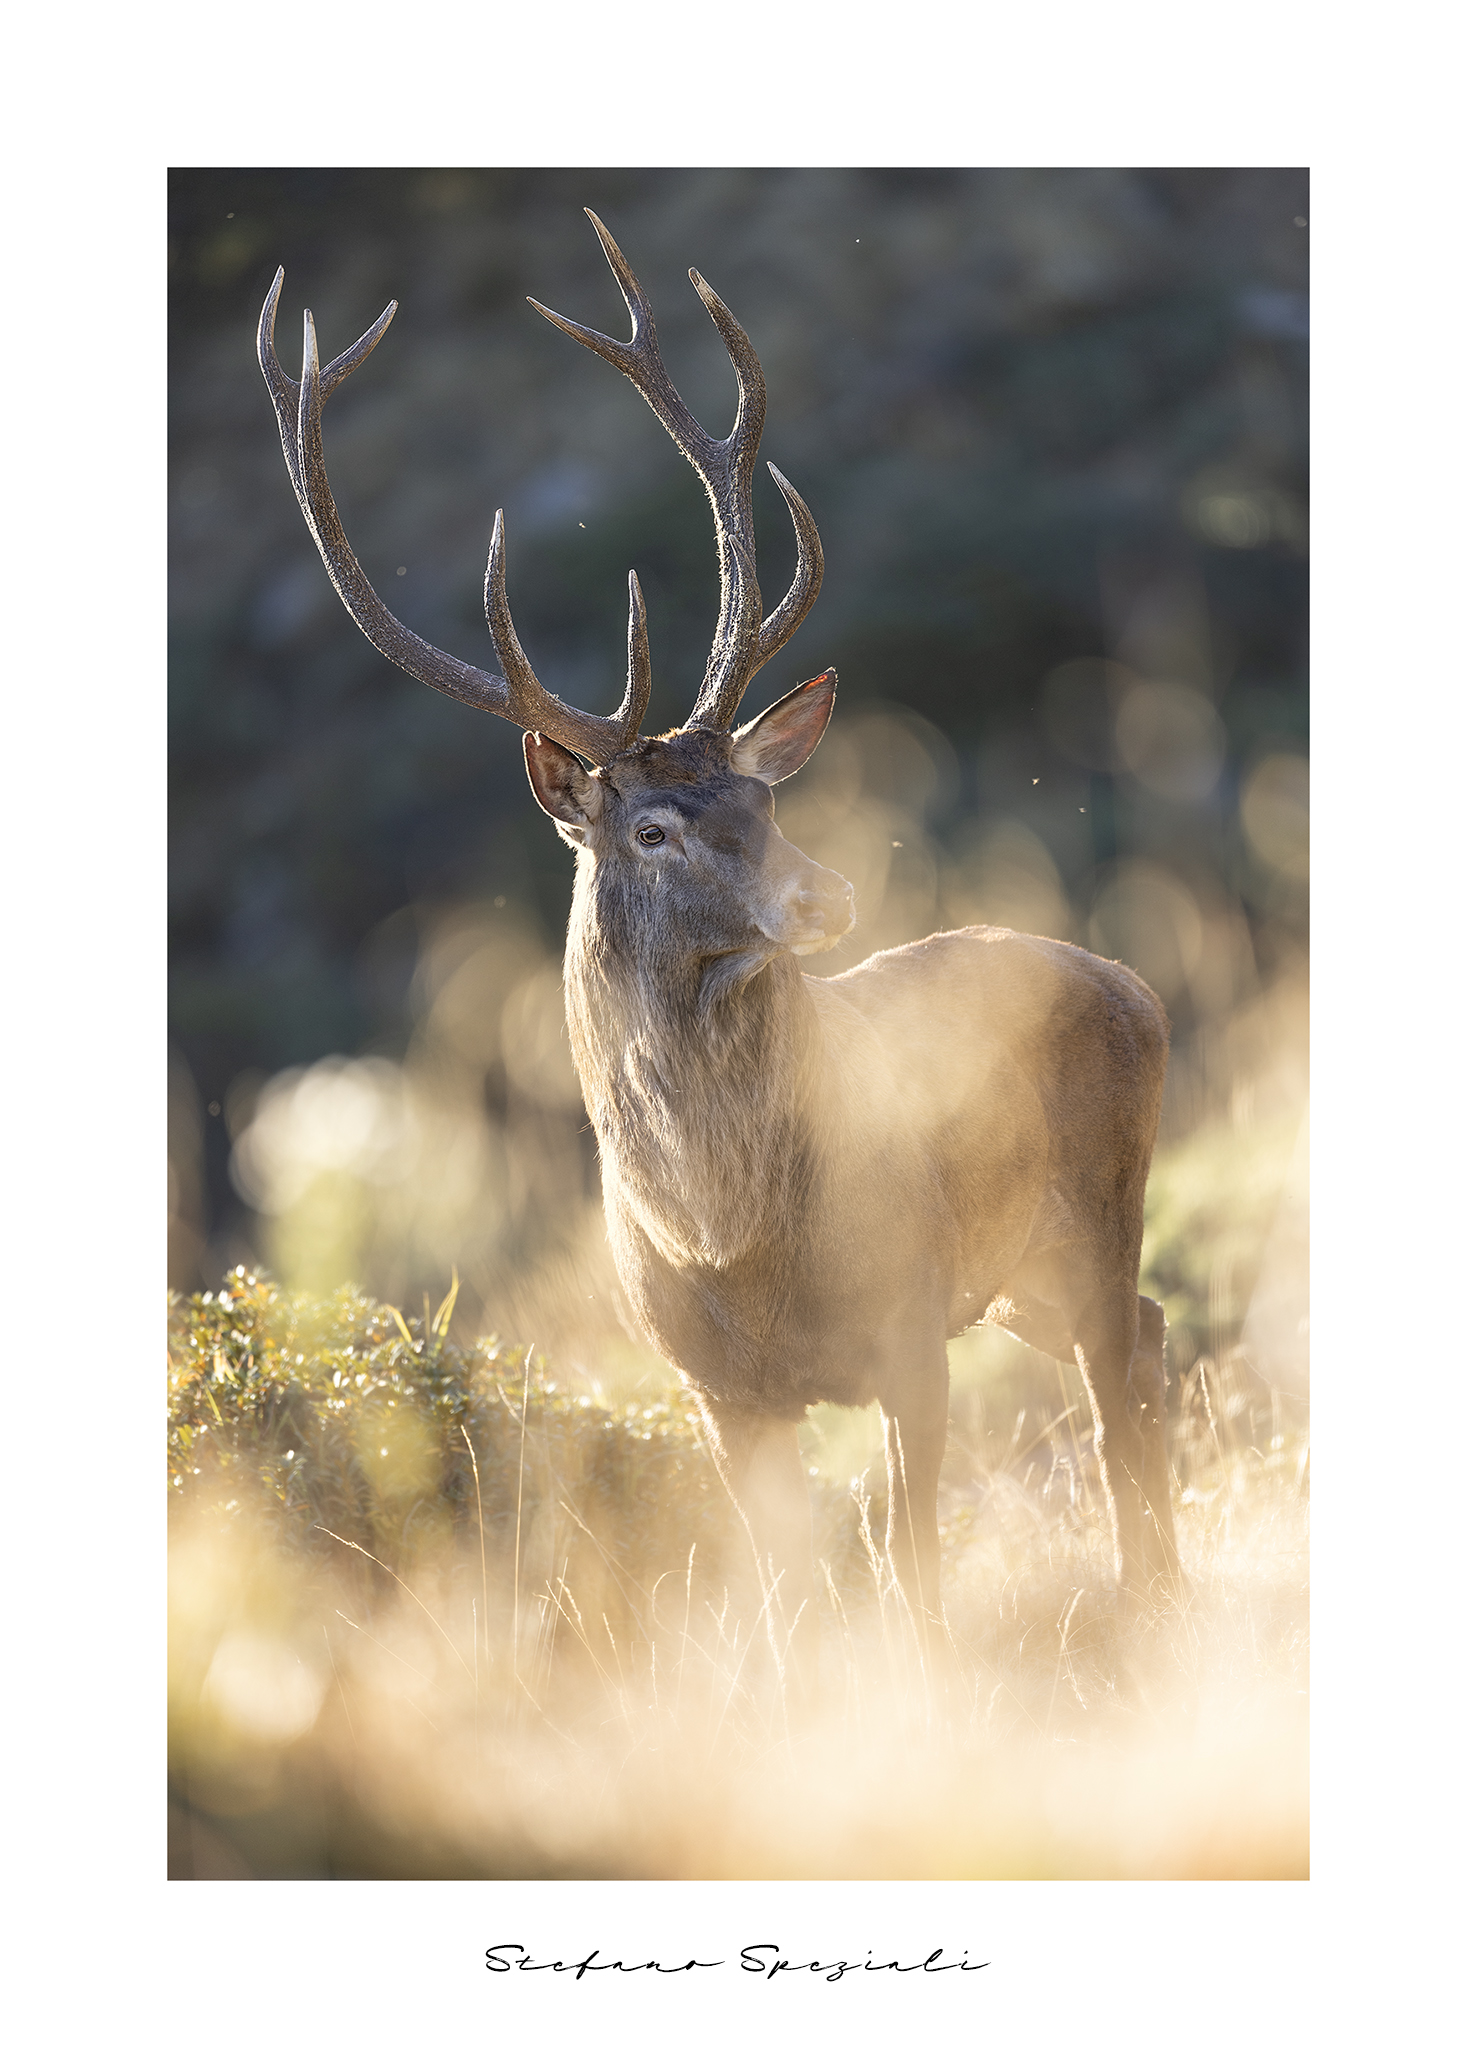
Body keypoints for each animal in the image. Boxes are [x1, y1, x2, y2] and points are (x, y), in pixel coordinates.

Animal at [256, 209, 1181, 1693]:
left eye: (765, 797)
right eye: (652, 827)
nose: (826, 894)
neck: (727, 1241)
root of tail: (1129, 980)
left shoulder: (906, 1324)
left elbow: (910, 1567)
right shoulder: (715, 1389)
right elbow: (786, 1593)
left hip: (1093, 1212)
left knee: (1120, 1375)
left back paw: (1155, 1592)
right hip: (1021, 1282)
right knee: (1145, 1341)